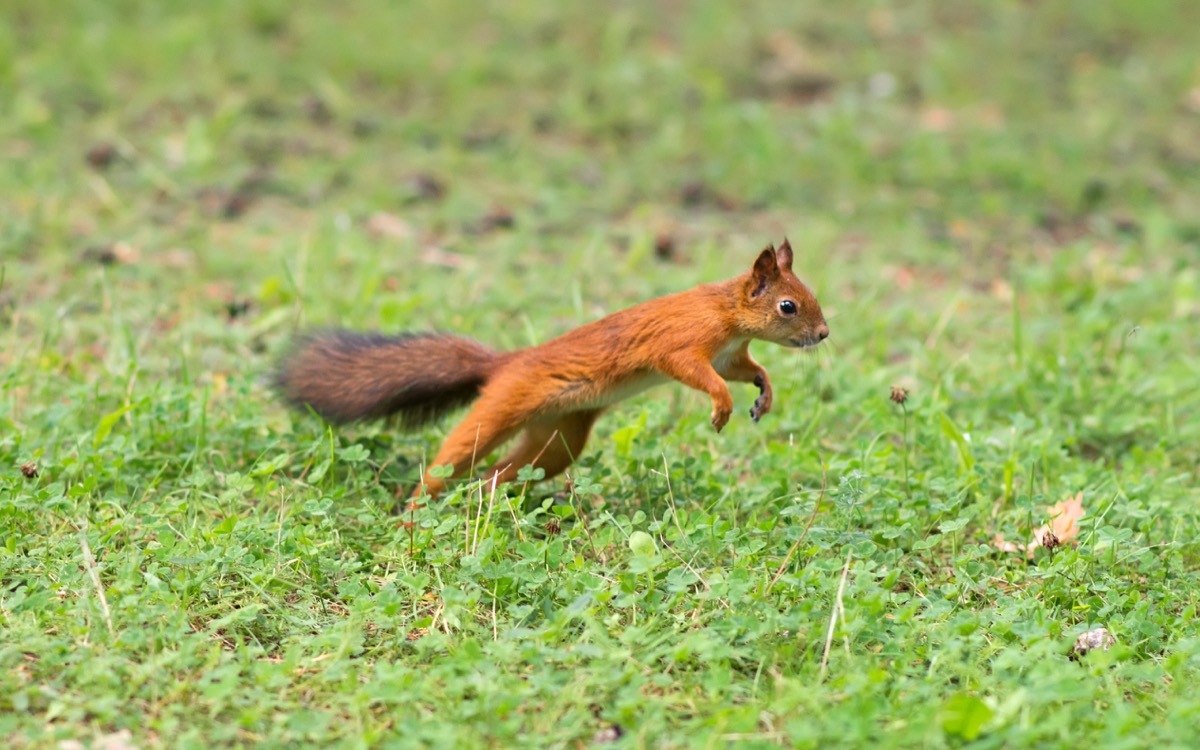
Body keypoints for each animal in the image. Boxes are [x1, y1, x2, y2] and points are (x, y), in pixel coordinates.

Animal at [276, 240, 830, 496]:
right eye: (788, 306)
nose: (824, 334)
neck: (726, 312)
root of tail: (505, 363)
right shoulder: (681, 343)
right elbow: (696, 372)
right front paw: (721, 406)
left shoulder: (730, 353)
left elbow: (747, 368)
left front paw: (764, 393)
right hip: (503, 407)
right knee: (454, 457)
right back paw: (416, 512)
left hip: (557, 439)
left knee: (502, 473)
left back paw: (485, 501)